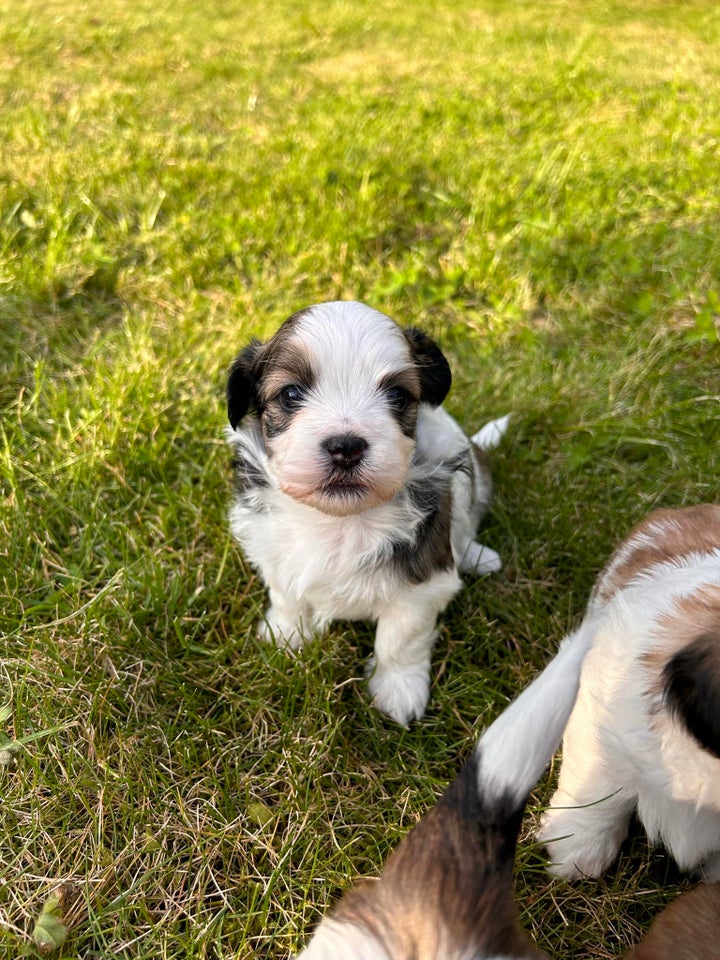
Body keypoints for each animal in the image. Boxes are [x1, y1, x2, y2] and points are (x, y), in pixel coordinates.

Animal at [225, 298, 506, 720]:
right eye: (291, 394)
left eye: (397, 396)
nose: (346, 447)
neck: (339, 520)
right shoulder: (273, 549)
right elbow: (286, 595)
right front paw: (286, 635)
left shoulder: (423, 581)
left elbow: (399, 640)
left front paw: (398, 691)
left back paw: (478, 556)